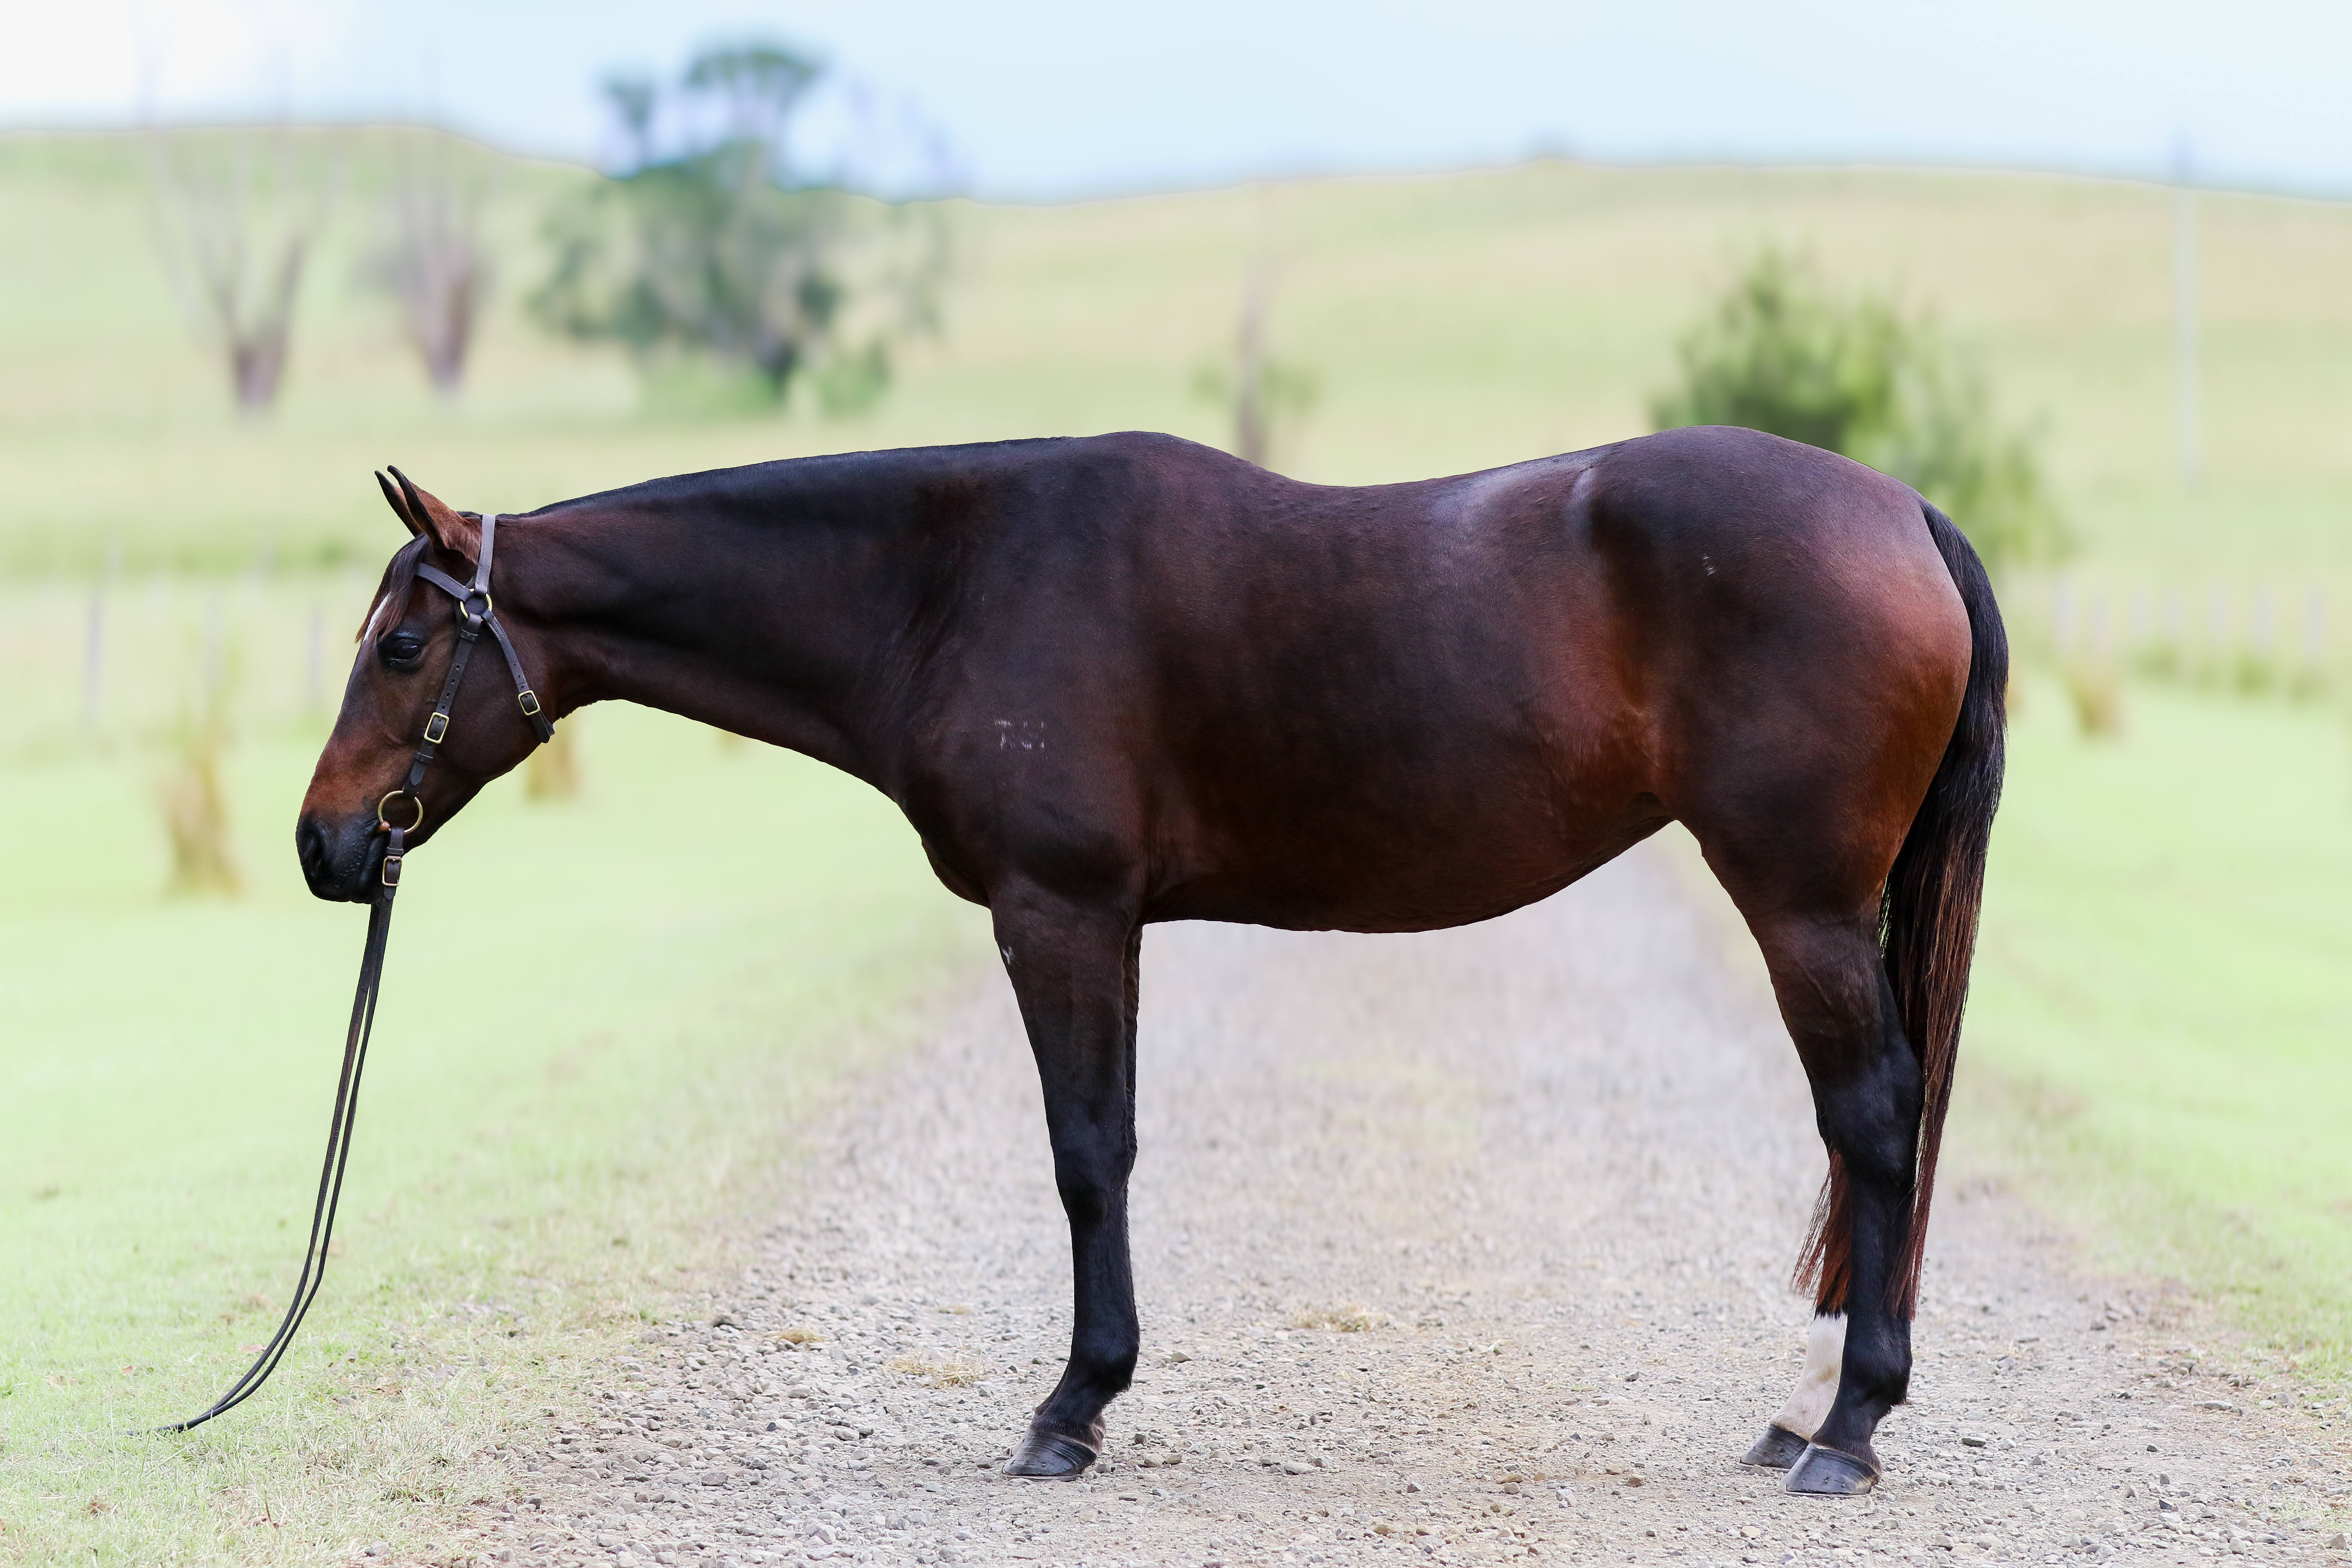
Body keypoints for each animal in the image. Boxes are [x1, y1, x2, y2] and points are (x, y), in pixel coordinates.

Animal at [298, 425, 2005, 1495]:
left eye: (402, 644)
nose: (326, 846)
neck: (949, 581)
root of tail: (1905, 513)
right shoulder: (1098, 921)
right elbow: (1105, 1142)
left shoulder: (1058, 911)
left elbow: (1083, 1152)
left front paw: (1071, 1407)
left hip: (1799, 904)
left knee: (1874, 1119)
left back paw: (1847, 1427)